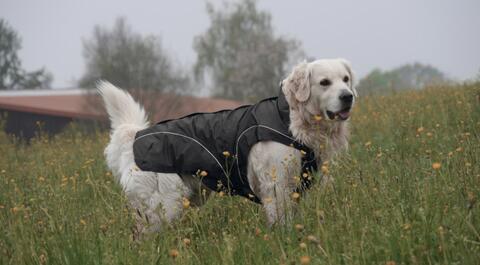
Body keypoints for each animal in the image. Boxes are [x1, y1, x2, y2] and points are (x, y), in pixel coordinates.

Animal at [98, 57, 356, 233]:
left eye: (345, 80)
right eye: (324, 82)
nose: (348, 96)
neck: (289, 118)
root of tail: (136, 135)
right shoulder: (277, 185)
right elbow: (281, 221)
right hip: (164, 205)